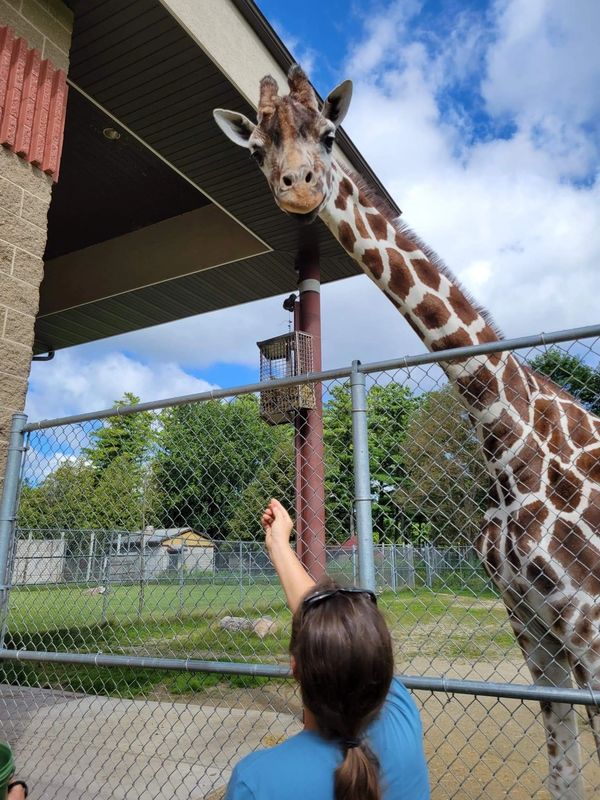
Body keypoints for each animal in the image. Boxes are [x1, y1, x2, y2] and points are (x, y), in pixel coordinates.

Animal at [213, 65, 600, 796]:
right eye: (257, 148)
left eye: (328, 134)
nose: (299, 188)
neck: (507, 439)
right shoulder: (534, 628)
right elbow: (564, 770)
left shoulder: (588, 618)